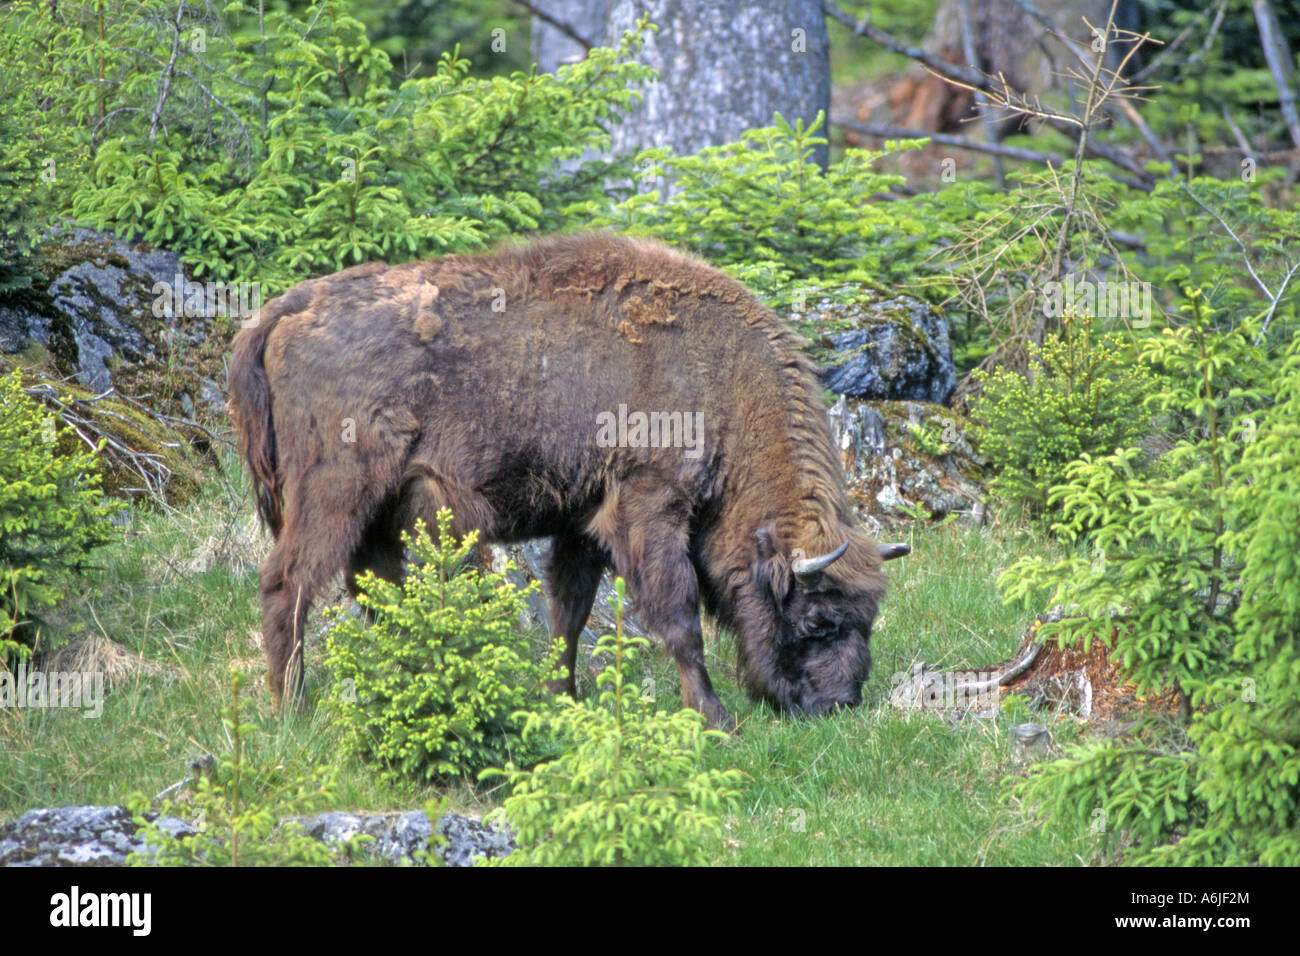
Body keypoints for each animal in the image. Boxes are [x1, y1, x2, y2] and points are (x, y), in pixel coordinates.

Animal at [226, 231, 904, 723]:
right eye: (819, 620)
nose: (838, 705)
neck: (722, 378)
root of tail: (287, 308)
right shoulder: (649, 507)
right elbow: (677, 616)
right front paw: (714, 718)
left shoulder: (583, 523)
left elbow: (568, 615)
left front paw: (562, 701)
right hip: (337, 495)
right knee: (288, 583)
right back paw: (291, 710)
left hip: (380, 510)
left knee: (376, 590)